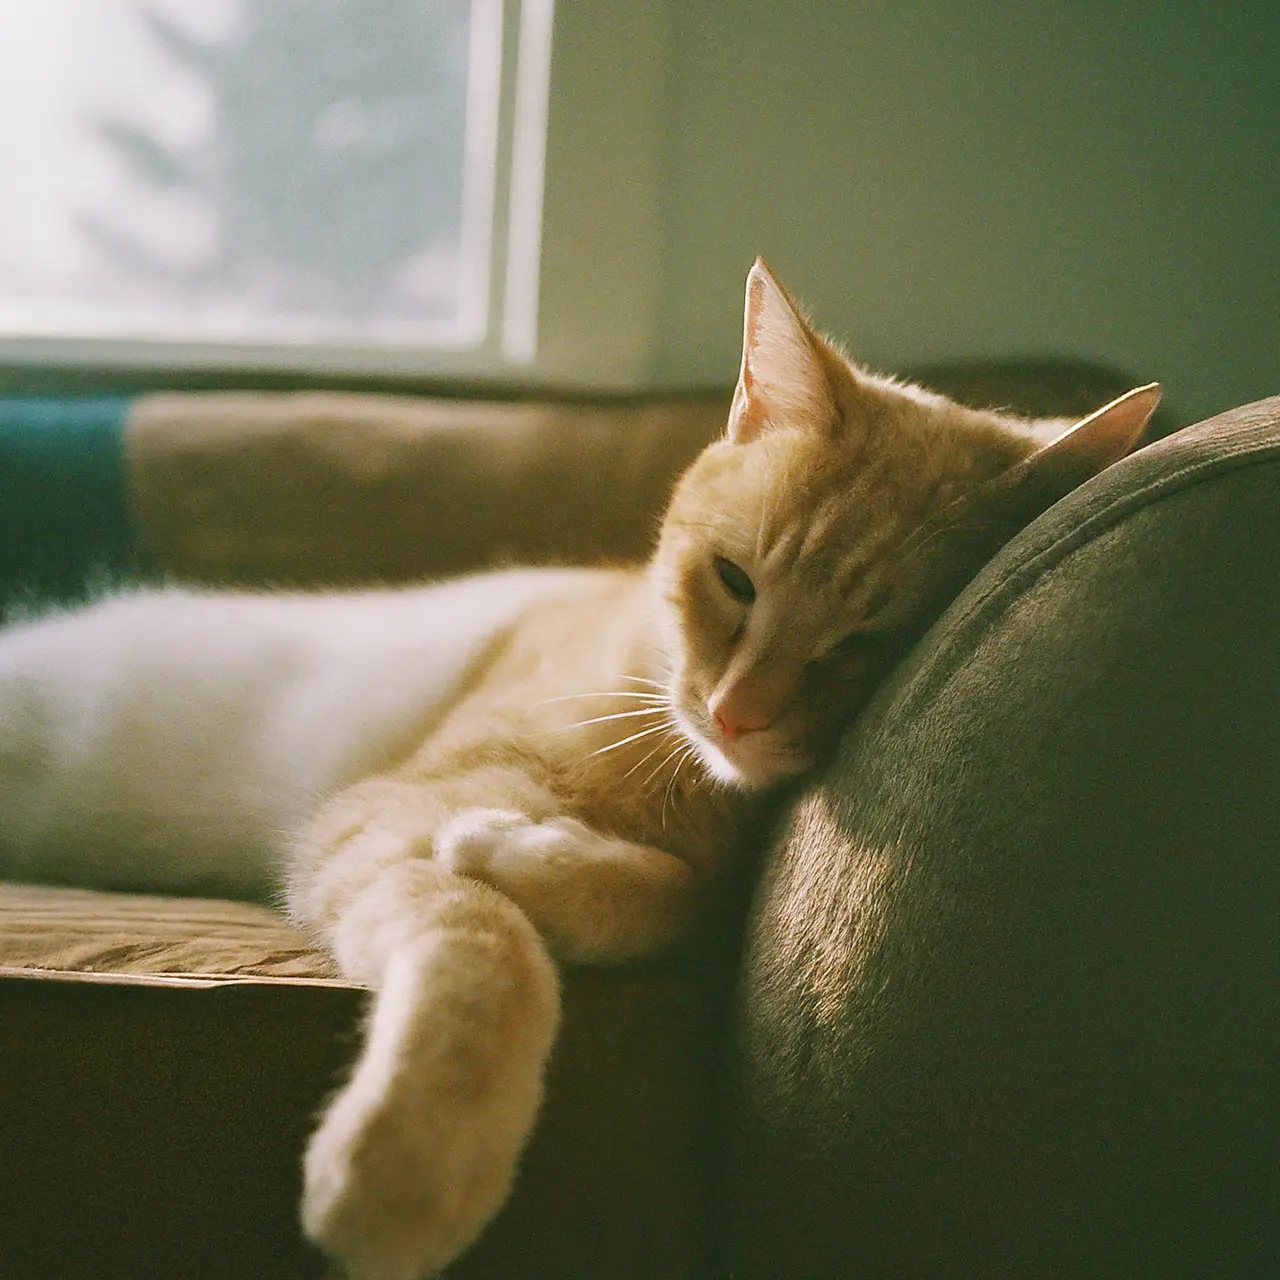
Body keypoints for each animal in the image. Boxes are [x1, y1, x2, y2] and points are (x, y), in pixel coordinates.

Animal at [0, 259, 1162, 1280]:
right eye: (734, 580)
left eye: (866, 645)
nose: (736, 714)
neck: (684, 771)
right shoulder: (382, 815)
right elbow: (489, 948)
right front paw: (411, 1164)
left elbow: (667, 895)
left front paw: (528, 857)